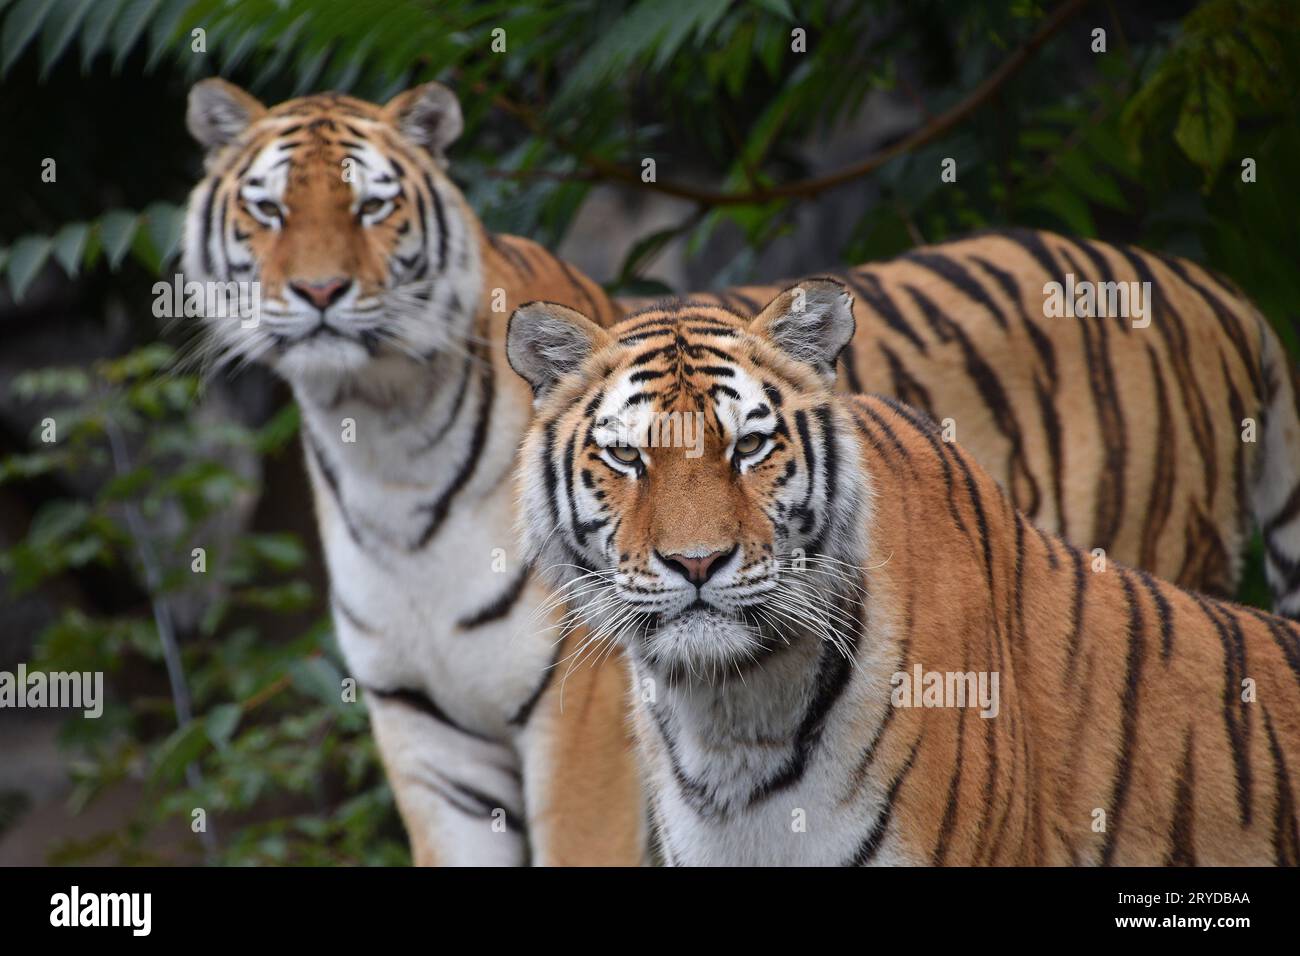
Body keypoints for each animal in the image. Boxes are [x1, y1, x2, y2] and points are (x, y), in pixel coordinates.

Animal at [184, 78, 644, 863]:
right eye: (270, 210)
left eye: (370, 207)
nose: (320, 291)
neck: (386, 444)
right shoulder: (426, 733)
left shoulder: (589, 717)